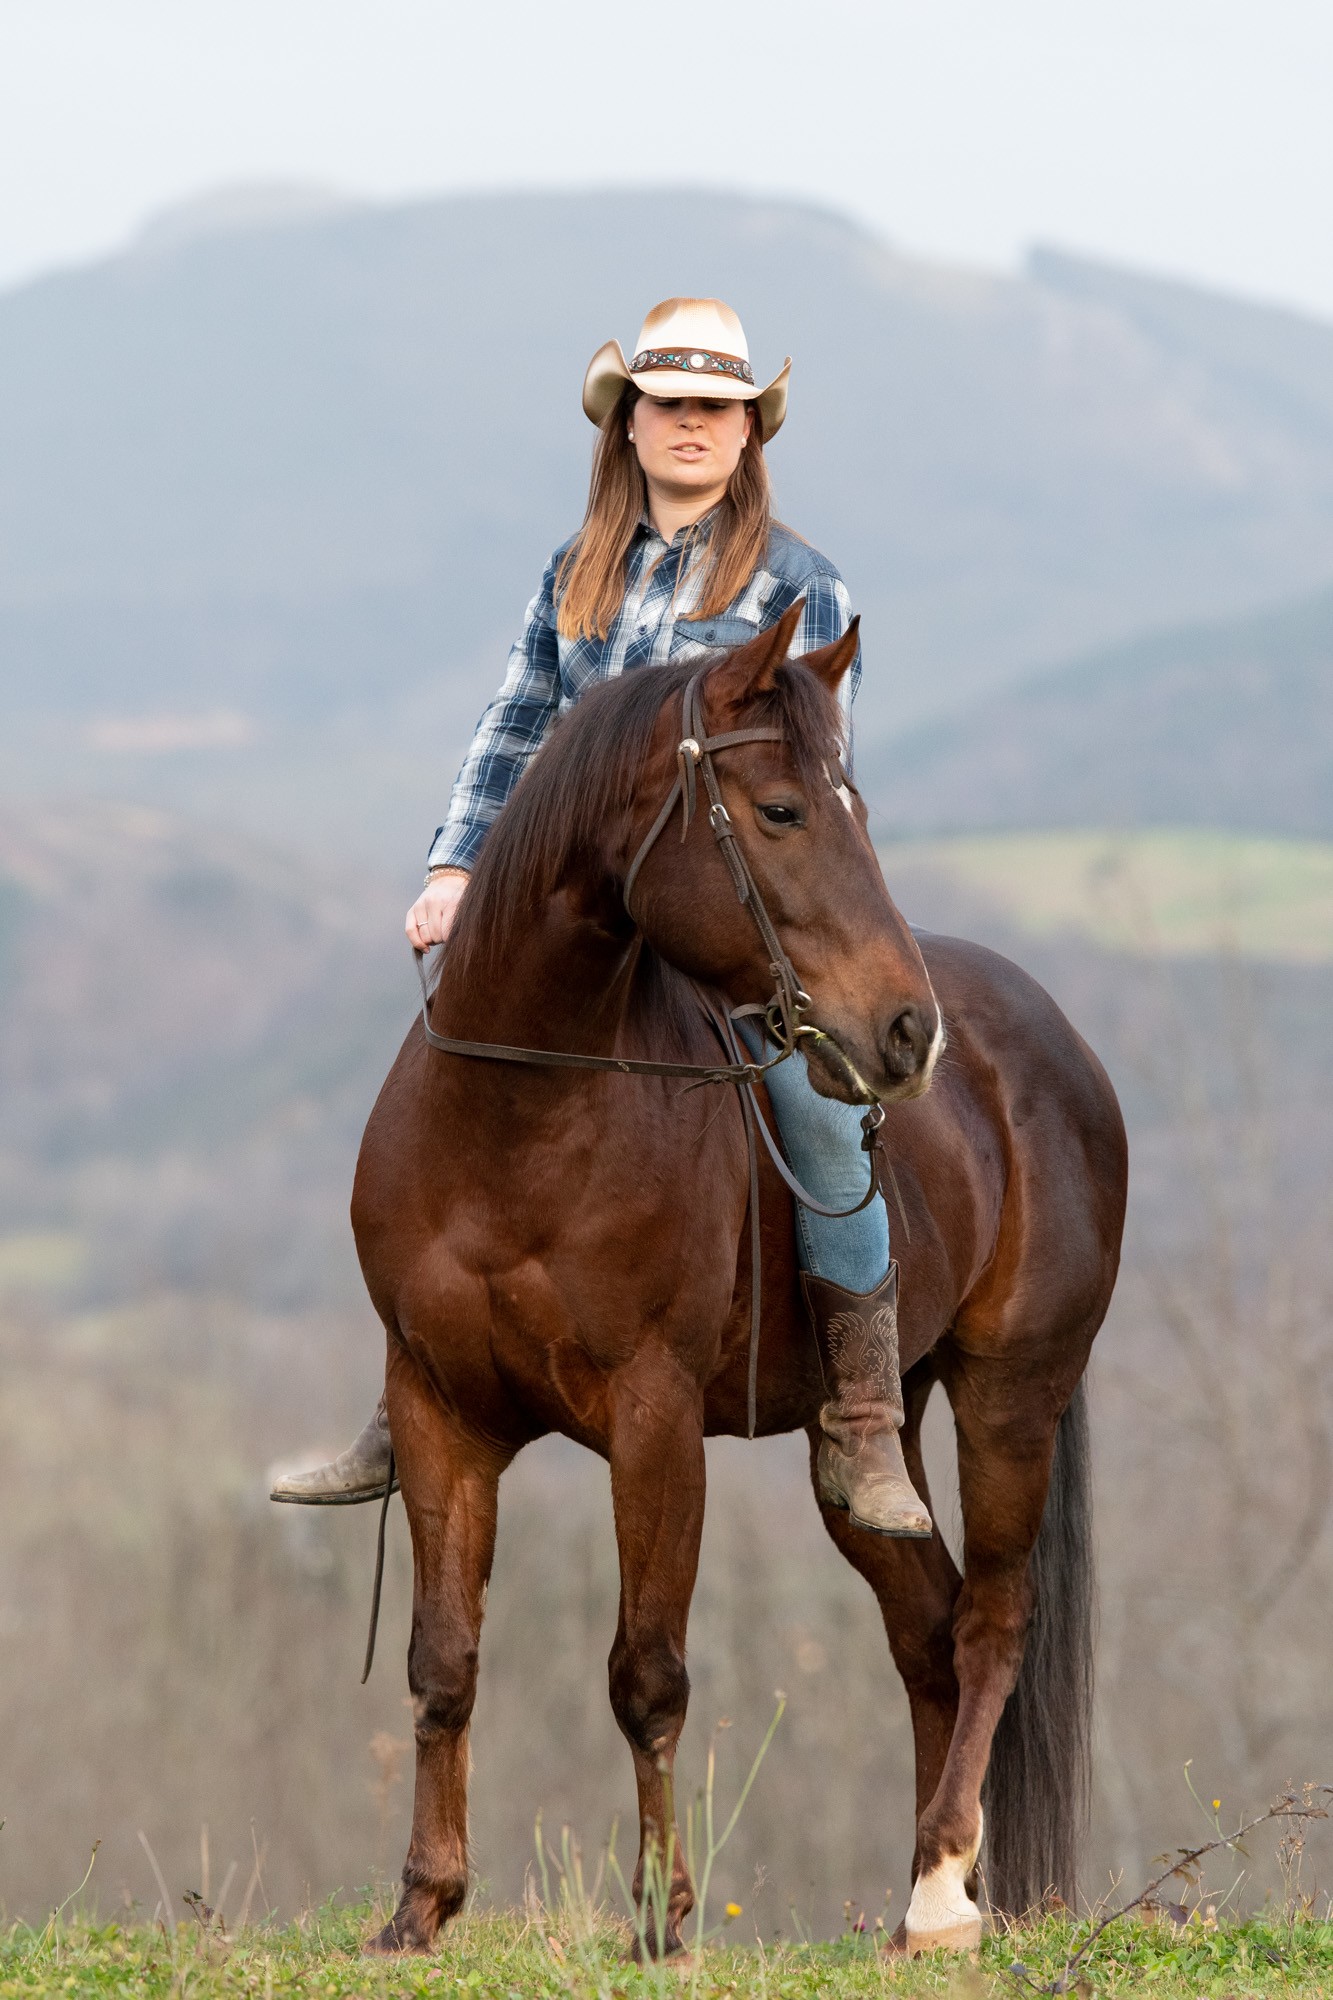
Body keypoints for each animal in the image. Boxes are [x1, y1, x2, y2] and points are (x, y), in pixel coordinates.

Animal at [350, 600, 1128, 1957]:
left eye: (851, 803)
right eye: (780, 809)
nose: (907, 1031)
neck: (515, 1124)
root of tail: (1058, 1046)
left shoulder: (655, 1421)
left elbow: (647, 1672)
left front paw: (662, 1920)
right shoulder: (437, 1408)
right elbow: (443, 1659)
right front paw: (421, 1906)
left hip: (1009, 1392)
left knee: (989, 1623)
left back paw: (939, 1887)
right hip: (878, 1428)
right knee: (926, 1628)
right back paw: (931, 1889)